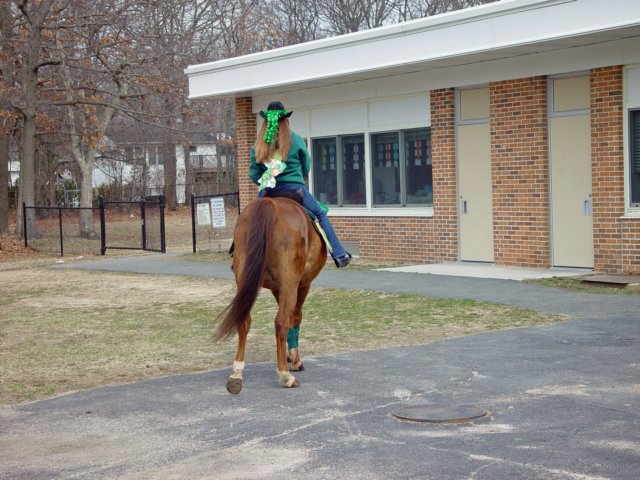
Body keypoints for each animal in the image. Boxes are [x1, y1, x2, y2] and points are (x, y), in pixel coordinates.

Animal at [214, 195, 324, 394]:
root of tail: (269, 204)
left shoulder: (276, 288)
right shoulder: (301, 284)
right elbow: (295, 318)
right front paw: (295, 360)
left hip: (245, 280)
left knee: (244, 321)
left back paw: (236, 374)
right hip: (290, 285)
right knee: (281, 322)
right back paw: (285, 375)